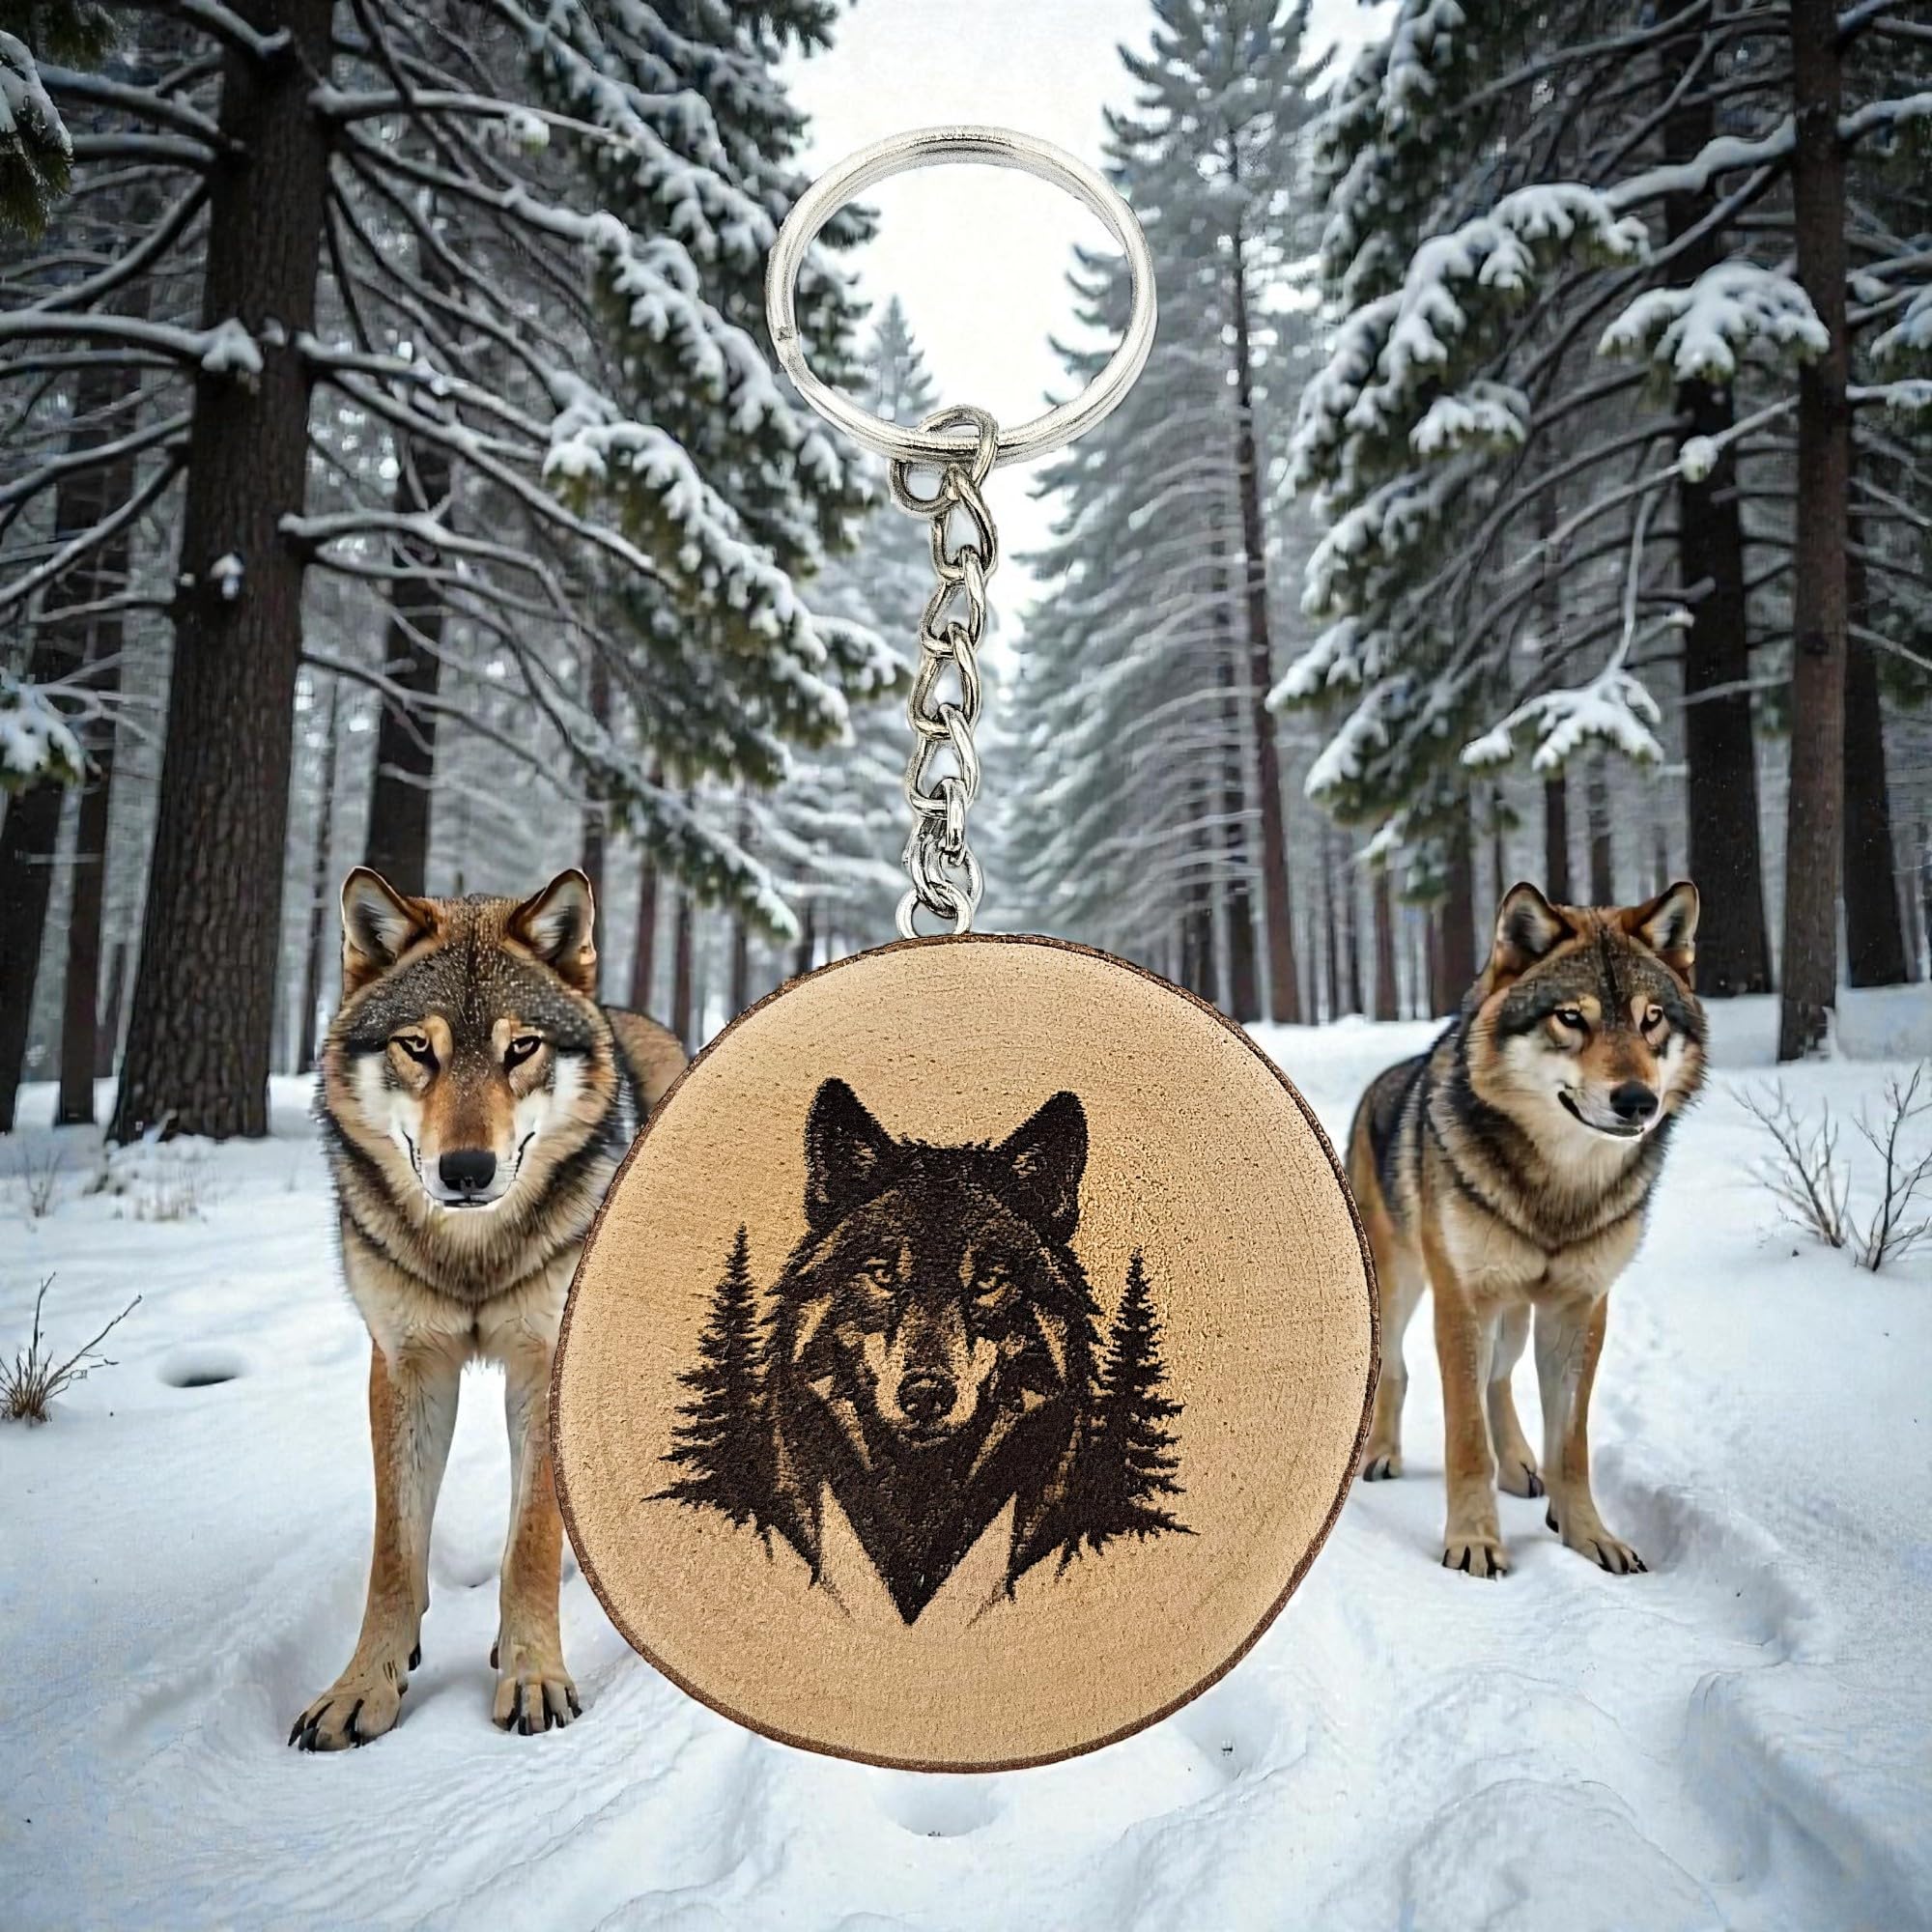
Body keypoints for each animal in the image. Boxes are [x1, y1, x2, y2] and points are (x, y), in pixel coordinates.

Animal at [292, 867, 684, 1749]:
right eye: (418, 1048)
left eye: (520, 1049)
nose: (466, 1169)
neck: (471, 1255)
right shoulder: (406, 1369)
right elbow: (394, 1555)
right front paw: (363, 1686)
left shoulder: (543, 1366)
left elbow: (531, 1542)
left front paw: (535, 1676)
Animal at [1347, 880, 1704, 1578]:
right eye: (1571, 1018)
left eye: (1651, 1018)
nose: (1637, 1101)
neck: (1557, 1190)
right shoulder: (1463, 1300)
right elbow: (1464, 1440)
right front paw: (1474, 1542)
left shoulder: (1578, 1308)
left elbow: (1571, 1446)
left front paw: (1590, 1536)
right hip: (1404, 1287)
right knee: (1397, 1368)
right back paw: (1382, 1454)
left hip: (1514, 1314)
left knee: (1498, 1380)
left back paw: (1516, 1465)